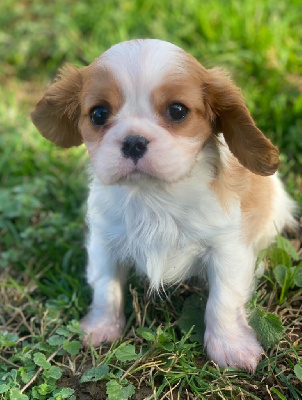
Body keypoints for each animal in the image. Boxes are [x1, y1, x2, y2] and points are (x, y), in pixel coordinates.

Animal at [30, 39, 294, 372]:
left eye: (177, 110)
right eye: (99, 114)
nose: (133, 142)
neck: (153, 196)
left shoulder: (227, 248)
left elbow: (223, 299)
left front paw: (229, 346)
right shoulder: (104, 243)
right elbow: (106, 289)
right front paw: (102, 327)